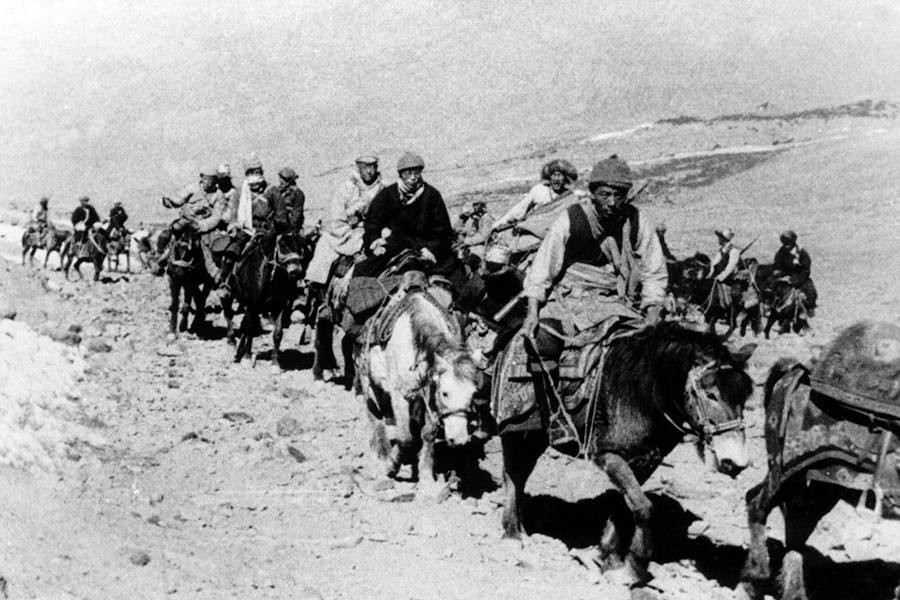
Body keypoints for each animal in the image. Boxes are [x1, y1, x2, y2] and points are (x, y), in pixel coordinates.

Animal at [222, 232, 308, 368]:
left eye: (300, 248)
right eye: (282, 245)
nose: (297, 272)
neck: (268, 279)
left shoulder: (279, 308)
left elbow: (277, 333)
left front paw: (275, 363)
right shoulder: (251, 306)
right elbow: (250, 330)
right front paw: (247, 358)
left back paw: (238, 352)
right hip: (229, 294)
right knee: (229, 314)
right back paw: (231, 340)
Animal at [354, 288, 482, 492]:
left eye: (474, 394)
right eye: (445, 393)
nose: (459, 439)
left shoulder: (428, 396)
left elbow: (428, 434)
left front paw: (427, 478)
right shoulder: (399, 395)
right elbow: (405, 438)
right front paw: (391, 467)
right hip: (369, 381)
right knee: (375, 416)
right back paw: (380, 454)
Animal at [496, 324, 756, 584]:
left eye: (743, 397)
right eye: (710, 394)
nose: (735, 462)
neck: (642, 393)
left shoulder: (644, 462)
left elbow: (625, 506)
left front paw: (608, 559)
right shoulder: (609, 455)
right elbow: (643, 507)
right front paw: (634, 565)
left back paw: (522, 530)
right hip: (518, 434)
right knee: (513, 476)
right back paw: (512, 537)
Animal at [740, 324, 900, 600]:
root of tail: (798, 371)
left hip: (821, 485)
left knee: (795, 531)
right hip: (789, 470)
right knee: (758, 504)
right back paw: (755, 574)